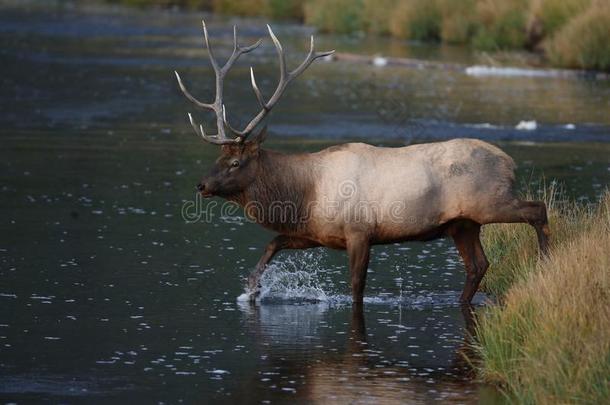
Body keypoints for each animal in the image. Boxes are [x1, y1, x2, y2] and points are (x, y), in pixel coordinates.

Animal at [173, 21, 548, 304]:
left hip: (489, 201)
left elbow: (356, 287)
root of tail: (509, 162)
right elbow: (273, 242)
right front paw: (251, 289)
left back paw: (545, 260)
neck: (303, 194)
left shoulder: (359, 231)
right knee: (478, 265)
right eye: (219, 157)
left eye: (235, 162)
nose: (201, 185)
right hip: (463, 224)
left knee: (537, 209)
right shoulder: (317, 232)